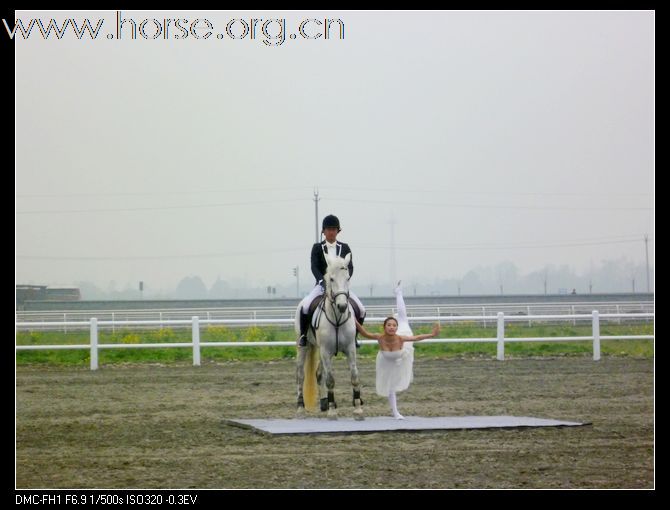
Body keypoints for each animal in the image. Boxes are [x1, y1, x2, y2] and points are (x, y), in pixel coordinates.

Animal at [296, 253, 364, 420]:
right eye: (331, 279)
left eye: (347, 278)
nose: (342, 306)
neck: (337, 318)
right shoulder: (326, 352)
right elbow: (331, 380)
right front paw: (333, 411)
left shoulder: (350, 349)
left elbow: (354, 376)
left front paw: (358, 408)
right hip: (304, 347)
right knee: (301, 375)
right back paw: (300, 408)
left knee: (319, 374)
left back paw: (324, 403)